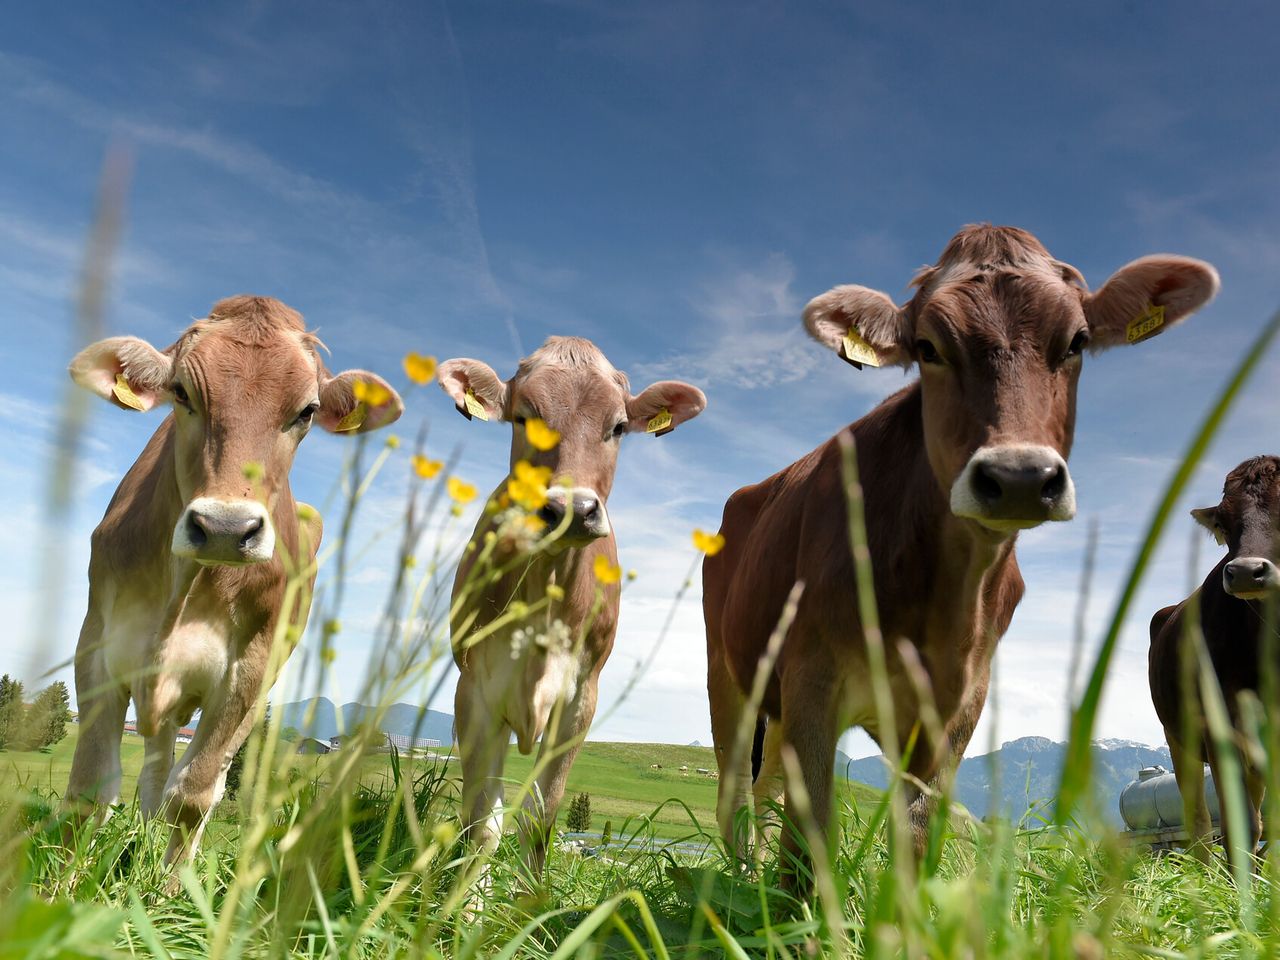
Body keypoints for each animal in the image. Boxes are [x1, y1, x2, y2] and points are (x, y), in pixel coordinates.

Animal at [63, 293, 399, 865]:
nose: (224, 528)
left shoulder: (249, 670)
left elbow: (194, 796)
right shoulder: (97, 645)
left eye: (306, 411)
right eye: (182, 391)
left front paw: (170, 887)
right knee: (153, 771)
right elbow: (90, 790)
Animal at [437, 335, 701, 885]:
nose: (571, 510)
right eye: (523, 417)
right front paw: (467, 902)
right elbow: (481, 820)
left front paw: (528, 903)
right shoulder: (475, 692)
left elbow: (541, 817)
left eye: (618, 426)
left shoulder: (581, 698)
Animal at [1152, 455, 1280, 865]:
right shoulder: (1218, 720)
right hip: (1178, 735)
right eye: (1223, 523)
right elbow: (1240, 823)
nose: (1246, 572)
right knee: (1199, 821)